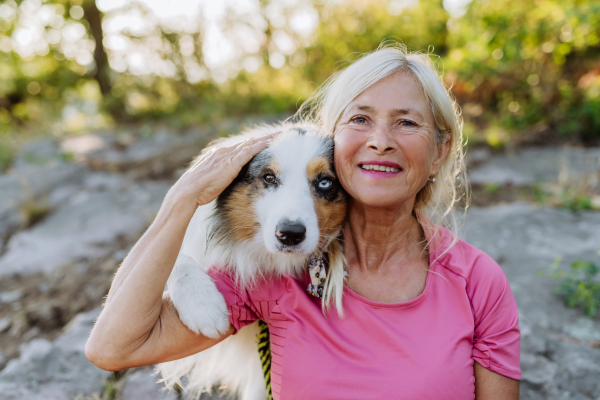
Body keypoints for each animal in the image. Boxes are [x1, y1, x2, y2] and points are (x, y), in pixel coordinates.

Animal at [157, 122, 346, 400]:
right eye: (269, 178)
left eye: (325, 182)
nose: (290, 234)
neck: (273, 259)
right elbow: (174, 258)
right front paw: (203, 306)